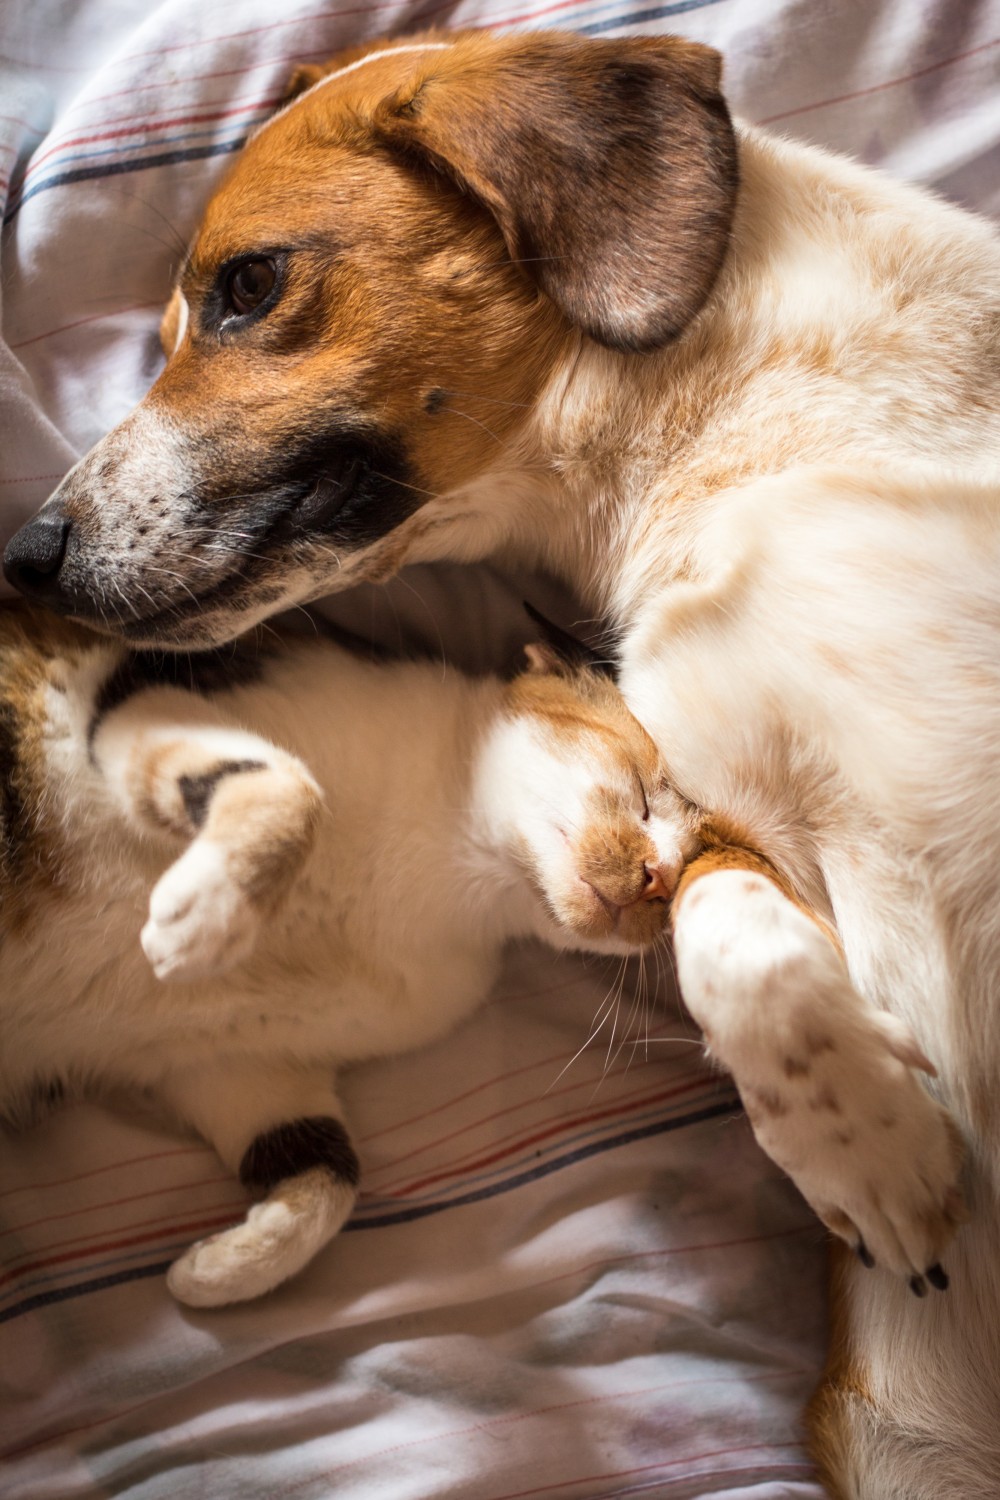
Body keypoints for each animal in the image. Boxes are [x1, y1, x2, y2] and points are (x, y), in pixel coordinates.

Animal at [0, 603, 701, 1308]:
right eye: (644, 794)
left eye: (683, 887)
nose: (659, 879)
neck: (439, 877)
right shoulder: (140, 683)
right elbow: (294, 790)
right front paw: (208, 911)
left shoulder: (229, 1059)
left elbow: (330, 1177)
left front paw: (221, 1269)